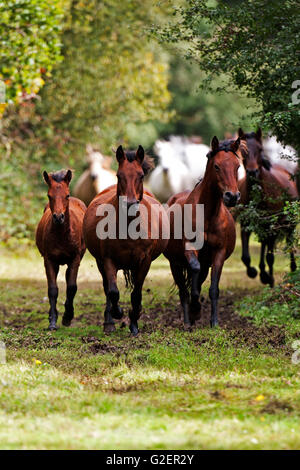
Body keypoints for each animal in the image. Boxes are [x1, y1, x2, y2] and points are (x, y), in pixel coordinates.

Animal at [36, 170, 86, 330]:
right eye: (49, 195)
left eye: (67, 195)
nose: (58, 217)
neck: (62, 235)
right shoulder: (49, 260)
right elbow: (53, 289)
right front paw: (52, 321)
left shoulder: (75, 259)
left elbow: (71, 287)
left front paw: (67, 317)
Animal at [82, 145, 169, 336]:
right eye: (118, 175)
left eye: (141, 176)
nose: (130, 204)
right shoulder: (108, 259)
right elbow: (113, 291)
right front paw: (118, 313)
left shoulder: (144, 261)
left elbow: (136, 293)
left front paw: (134, 324)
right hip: (100, 262)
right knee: (107, 288)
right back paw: (109, 322)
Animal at [163, 135, 240, 326]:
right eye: (217, 166)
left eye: (237, 166)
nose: (232, 196)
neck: (207, 216)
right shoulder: (190, 249)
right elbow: (194, 274)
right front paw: (195, 310)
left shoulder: (218, 253)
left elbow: (213, 288)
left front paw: (214, 322)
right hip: (175, 263)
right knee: (184, 290)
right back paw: (187, 320)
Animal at [237, 127, 298, 286]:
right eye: (242, 150)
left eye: (260, 149)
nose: (252, 172)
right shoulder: (245, 224)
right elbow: (245, 257)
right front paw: (254, 272)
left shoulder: (272, 226)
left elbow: (270, 256)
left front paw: (269, 278)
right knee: (264, 244)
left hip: (288, 224)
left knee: (289, 243)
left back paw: (292, 269)